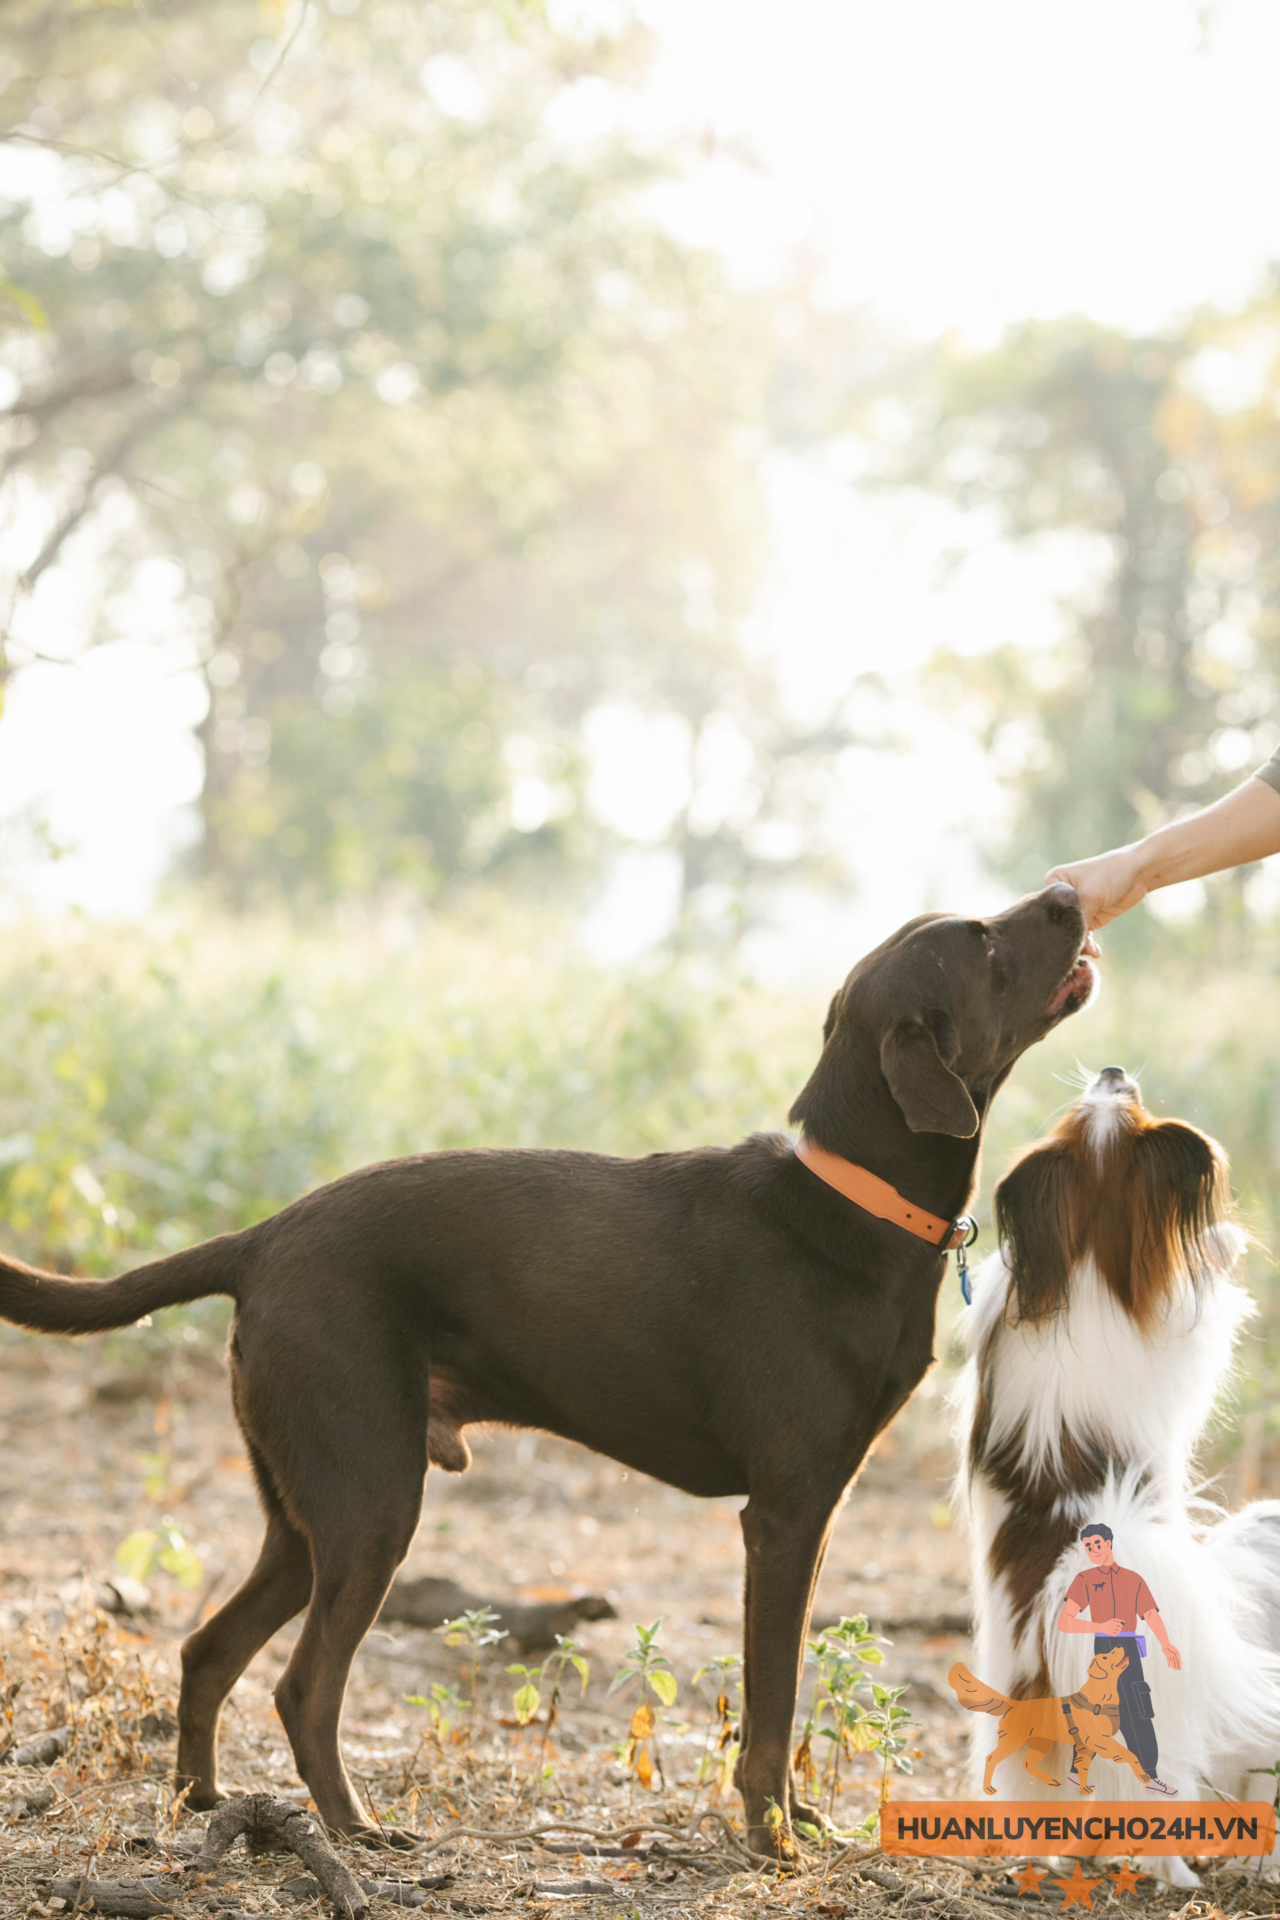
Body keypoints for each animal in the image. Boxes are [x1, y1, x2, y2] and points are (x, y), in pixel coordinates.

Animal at [0, 887, 1090, 1858]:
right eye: (986, 943)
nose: (1069, 896)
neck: (851, 1198)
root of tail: (260, 1241)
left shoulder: (816, 1512)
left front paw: (800, 1821)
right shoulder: (783, 1517)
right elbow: (772, 1703)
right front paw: (771, 1837)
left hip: (305, 1514)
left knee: (208, 1649)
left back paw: (202, 1803)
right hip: (371, 1503)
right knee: (302, 1686)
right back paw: (353, 1828)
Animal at [951, 1643, 1151, 1789]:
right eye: (1104, 1657)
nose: (1119, 1644)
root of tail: (1014, 1704)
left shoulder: (1088, 1746)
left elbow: (1084, 1767)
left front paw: (1084, 1788)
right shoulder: (1101, 1740)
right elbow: (1130, 1754)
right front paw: (1143, 1775)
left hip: (1041, 1743)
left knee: (1027, 1764)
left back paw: (1050, 1780)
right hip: (1014, 1741)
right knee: (991, 1758)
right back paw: (988, 1788)